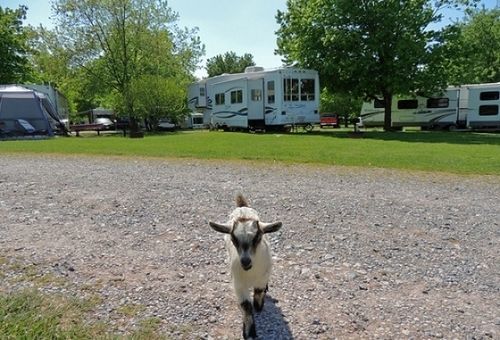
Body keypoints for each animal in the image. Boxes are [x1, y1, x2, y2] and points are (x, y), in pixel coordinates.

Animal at [210, 194, 284, 340]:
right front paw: (249, 332)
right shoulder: (238, 284)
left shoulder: (262, 277)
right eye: (233, 239)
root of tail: (242, 206)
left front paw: (259, 306)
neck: (250, 272)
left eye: (258, 238)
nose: (245, 261)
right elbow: (246, 306)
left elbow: (259, 292)